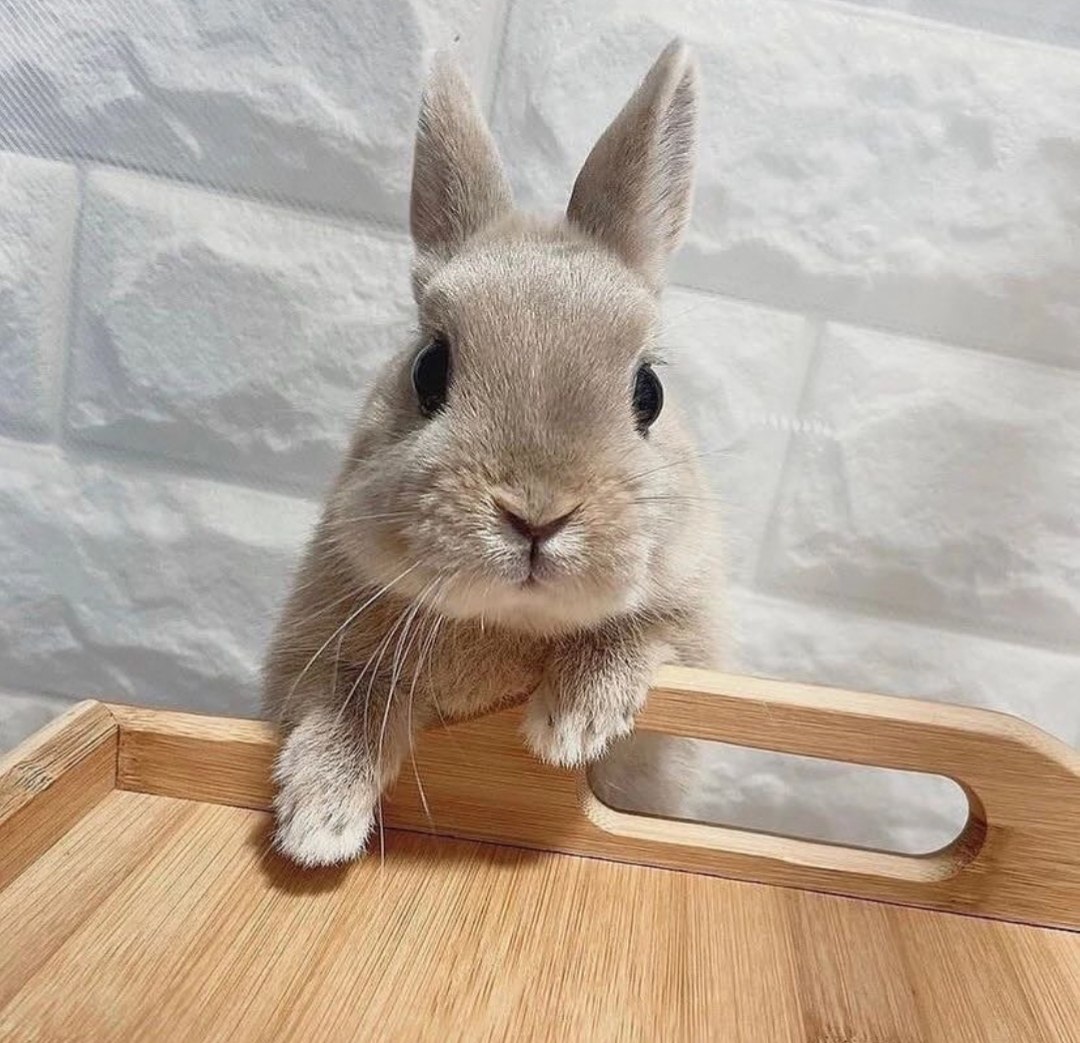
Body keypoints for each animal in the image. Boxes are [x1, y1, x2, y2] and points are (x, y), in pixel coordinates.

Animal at [263, 38, 725, 867]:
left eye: (649, 392)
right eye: (428, 368)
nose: (537, 515)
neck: (512, 623)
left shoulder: (689, 631)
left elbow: (642, 629)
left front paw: (569, 726)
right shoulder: (319, 653)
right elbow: (354, 699)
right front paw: (316, 822)